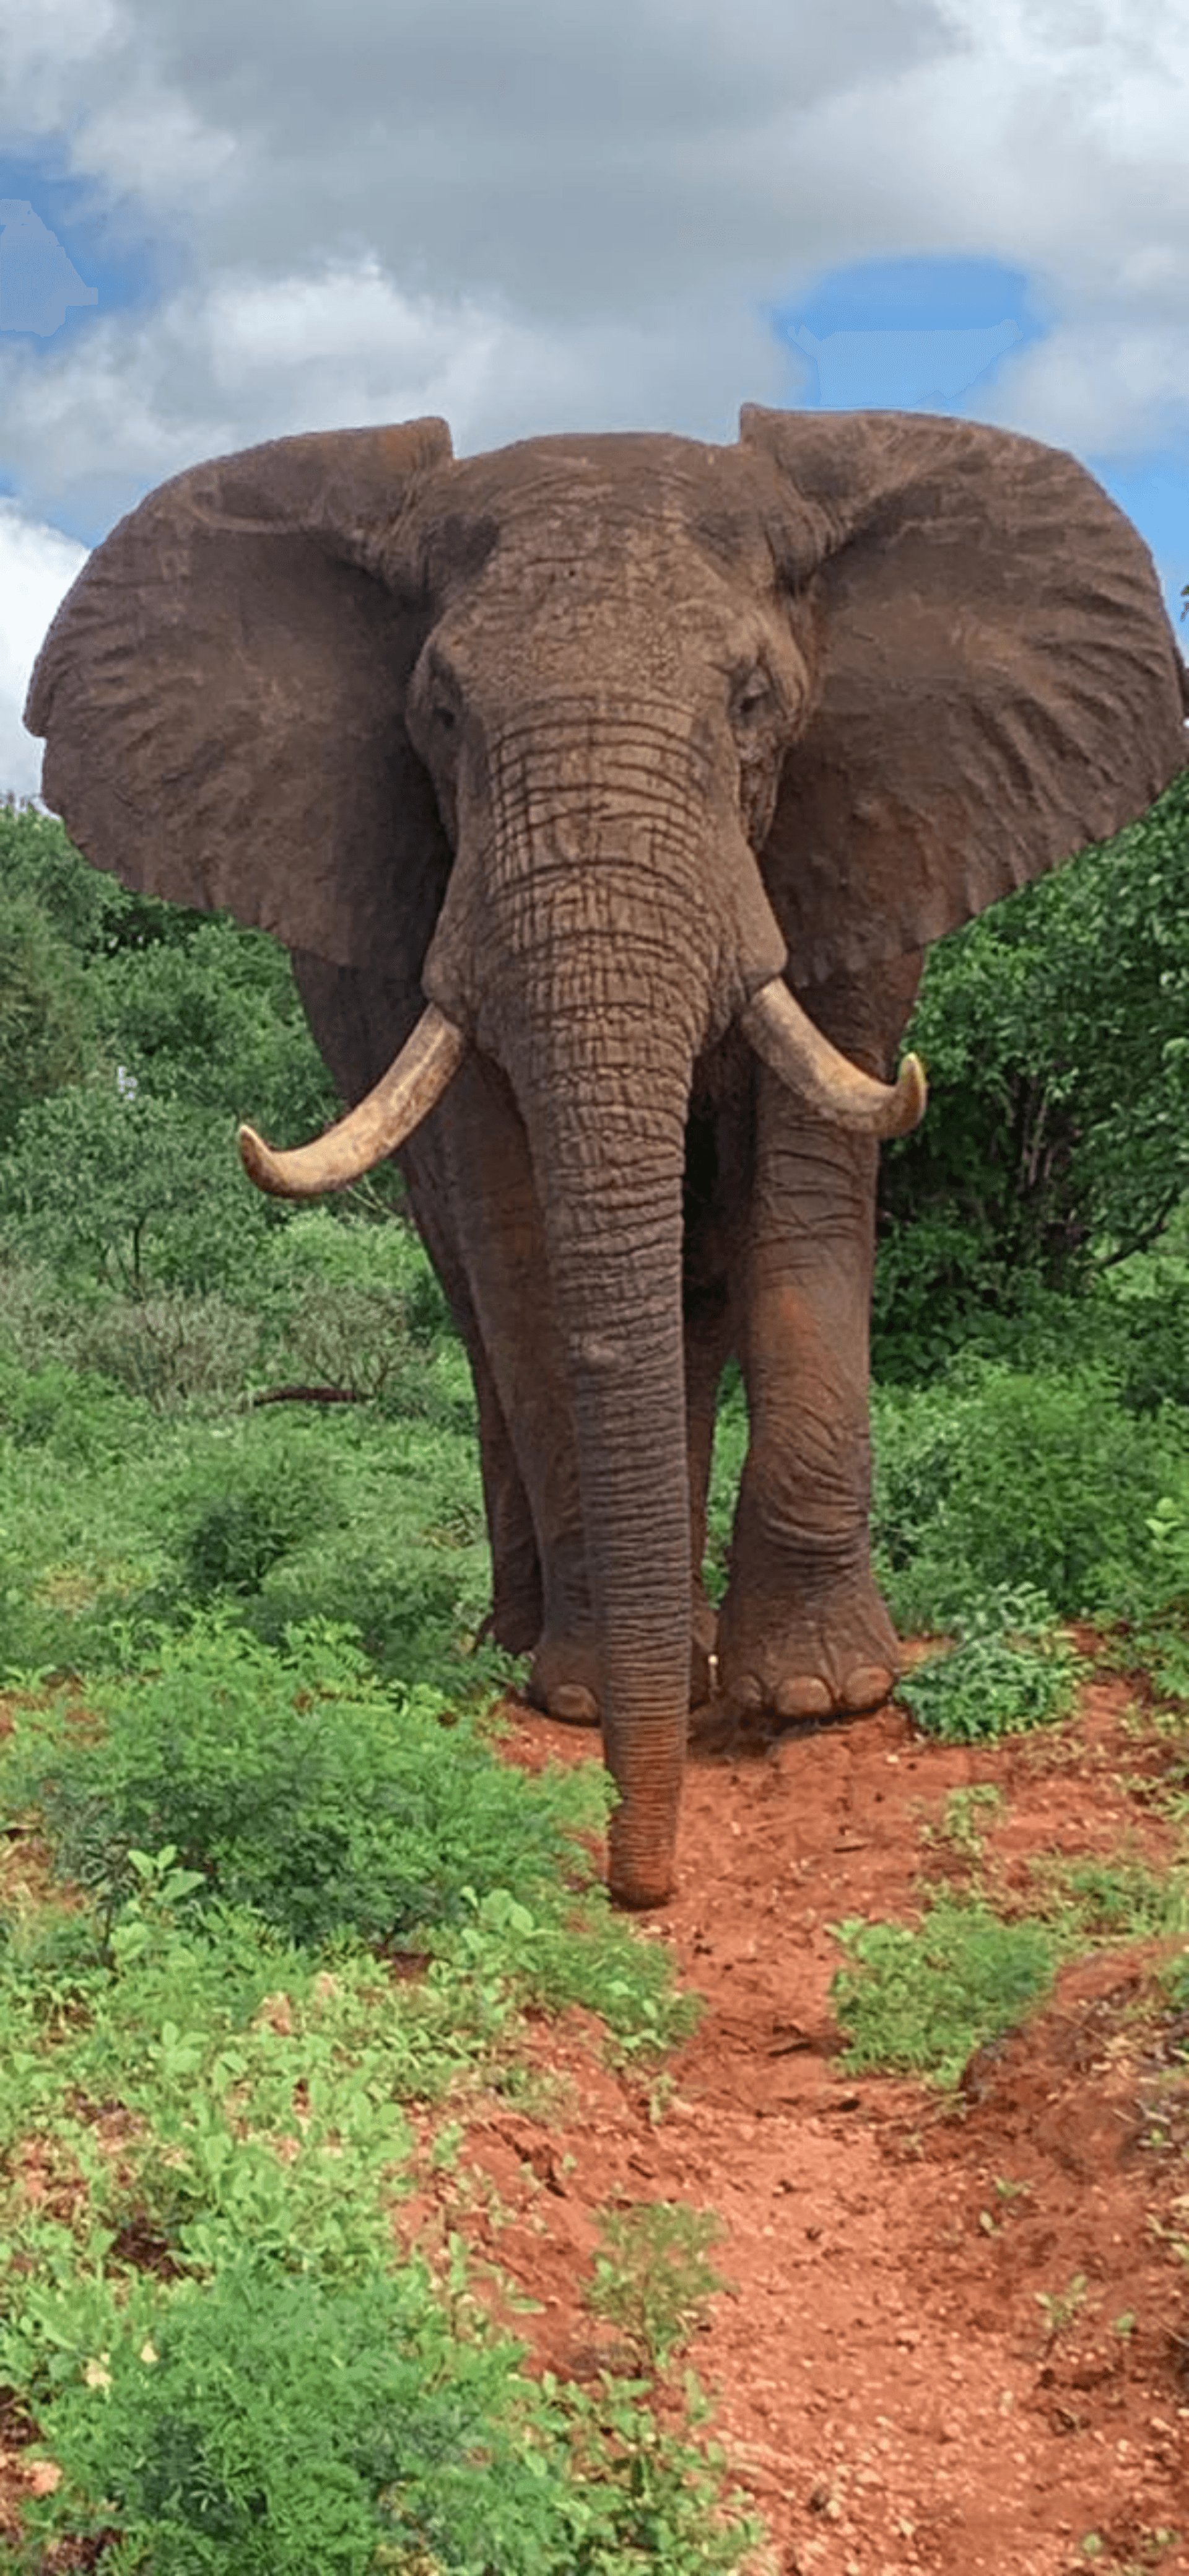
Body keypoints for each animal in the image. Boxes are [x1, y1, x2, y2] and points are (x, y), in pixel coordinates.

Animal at [25, 406, 1187, 1909]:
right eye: (439, 716)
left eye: (755, 703)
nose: (643, 1884)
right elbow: (516, 1225)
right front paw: (587, 1696)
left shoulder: (869, 822)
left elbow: (809, 1179)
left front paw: (815, 1698)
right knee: (480, 1294)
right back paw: (539, 1643)